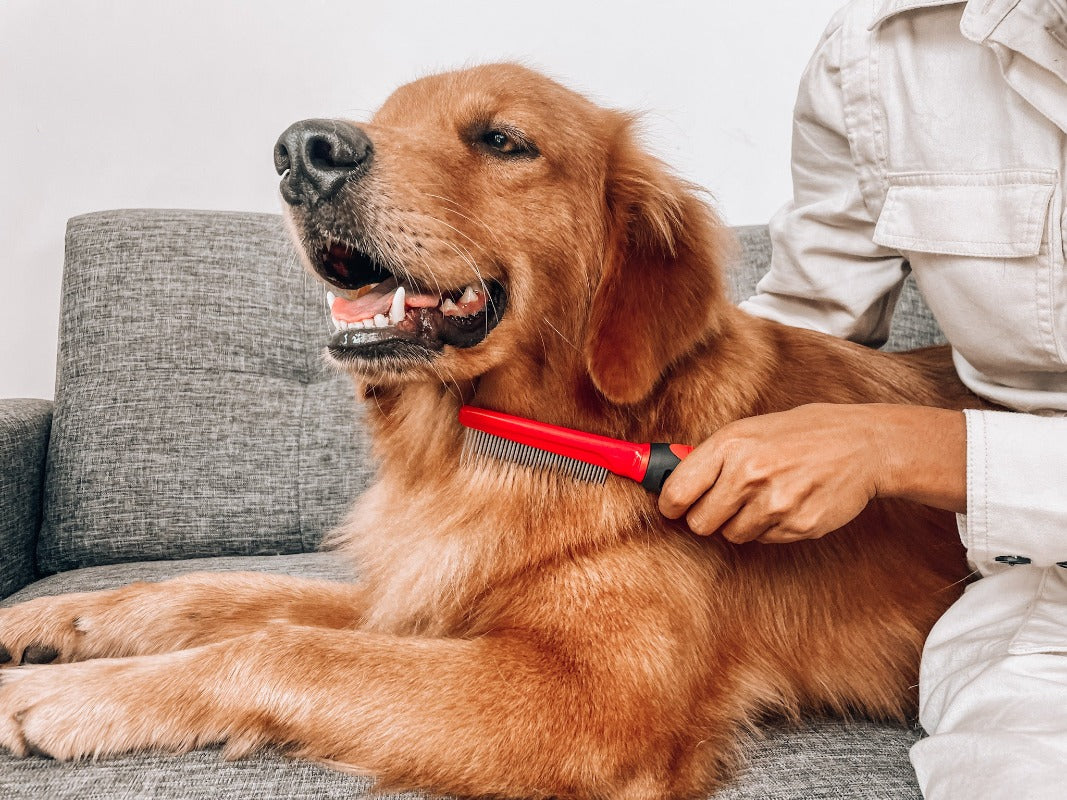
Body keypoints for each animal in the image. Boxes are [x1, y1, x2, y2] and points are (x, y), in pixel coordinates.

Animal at [0, 65, 981, 797]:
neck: (492, 442)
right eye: (382, 121)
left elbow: (284, 646)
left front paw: (60, 695)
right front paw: (54, 622)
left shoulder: (588, 697)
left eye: (502, 140)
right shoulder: (424, 589)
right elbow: (221, 593)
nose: (301, 151)